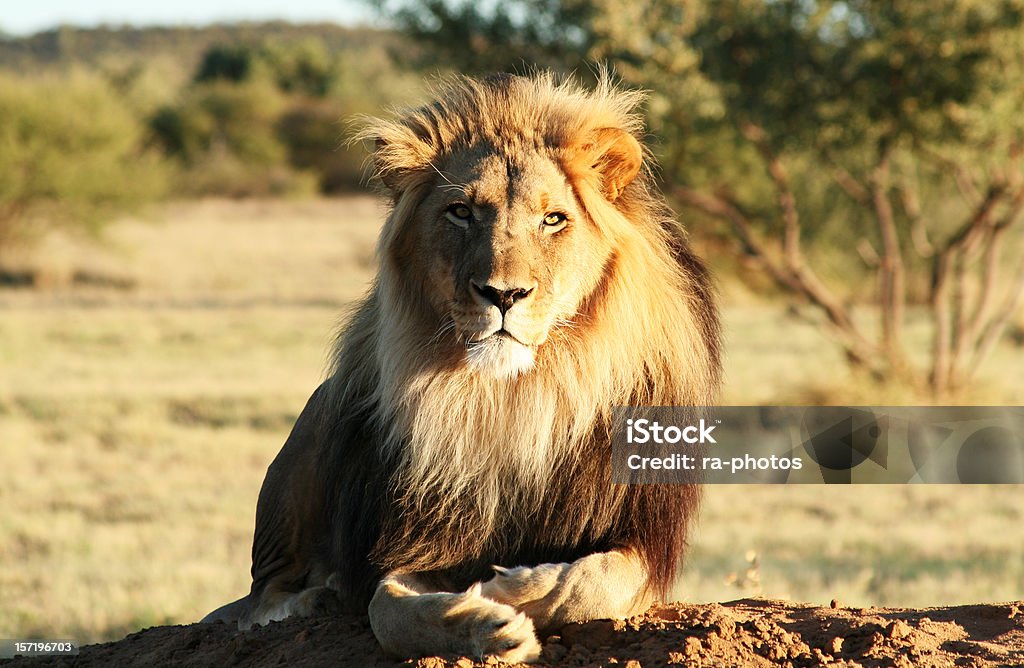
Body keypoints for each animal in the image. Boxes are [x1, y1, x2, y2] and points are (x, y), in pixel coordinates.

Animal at [201, 70, 720, 659]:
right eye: (462, 212)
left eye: (553, 219)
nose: (503, 294)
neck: (518, 397)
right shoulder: (420, 538)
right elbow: (388, 611)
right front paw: (486, 623)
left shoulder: (644, 541)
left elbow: (593, 582)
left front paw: (513, 589)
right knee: (261, 596)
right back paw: (316, 598)